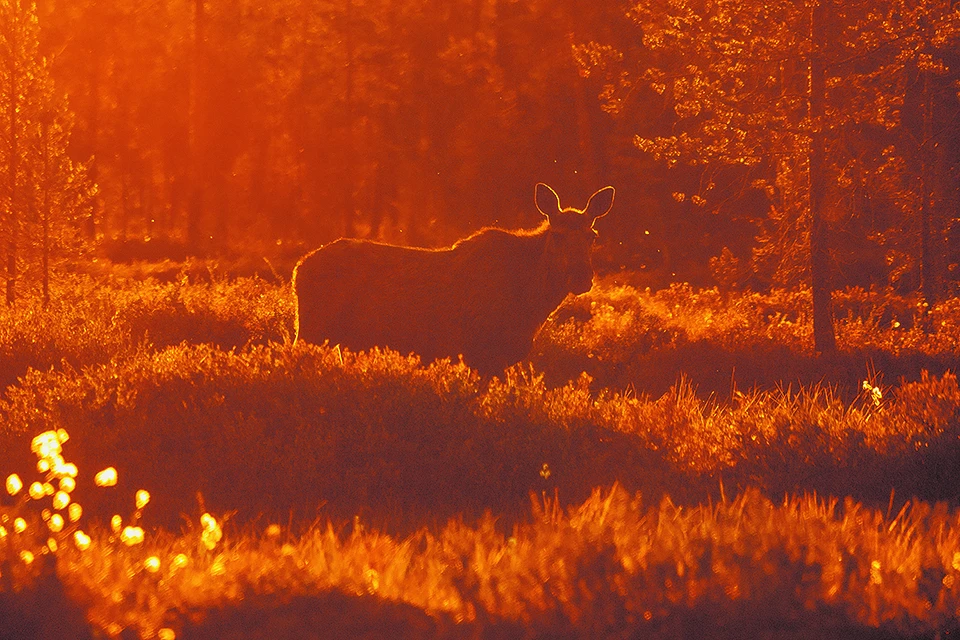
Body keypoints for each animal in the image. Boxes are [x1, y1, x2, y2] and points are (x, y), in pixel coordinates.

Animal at [292, 182, 620, 376]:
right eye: (558, 235)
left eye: (592, 236)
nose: (581, 277)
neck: (531, 305)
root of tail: (297, 269)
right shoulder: (482, 355)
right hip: (311, 331)